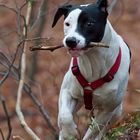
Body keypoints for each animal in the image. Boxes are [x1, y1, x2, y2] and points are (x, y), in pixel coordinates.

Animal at [52, 0, 131, 139]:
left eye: (89, 23)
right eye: (67, 23)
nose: (70, 41)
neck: (92, 61)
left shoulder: (107, 110)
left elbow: (93, 132)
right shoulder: (67, 92)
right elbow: (65, 116)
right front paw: (69, 132)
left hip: (116, 112)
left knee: (103, 130)